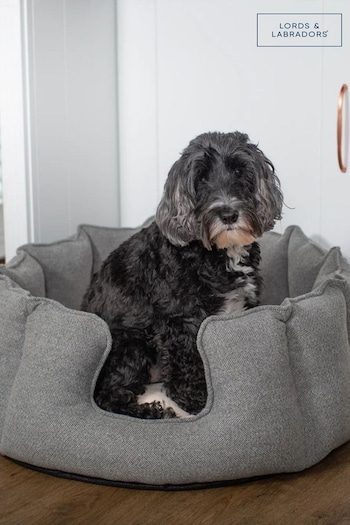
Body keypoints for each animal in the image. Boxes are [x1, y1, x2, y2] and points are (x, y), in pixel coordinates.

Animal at [80, 131, 284, 418]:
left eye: (239, 170)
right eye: (201, 178)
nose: (228, 213)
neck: (216, 253)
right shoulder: (179, 320)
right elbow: (187, 362)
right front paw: (198, 402)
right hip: (132, 343)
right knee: (107, 398)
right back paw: (153, 412)